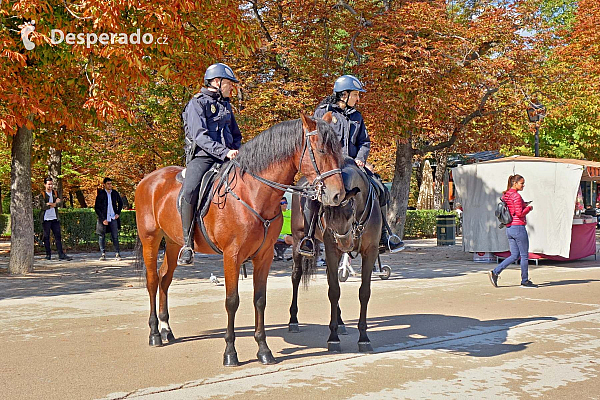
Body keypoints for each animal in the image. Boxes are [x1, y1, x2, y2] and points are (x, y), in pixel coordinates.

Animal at [134, 112, 344, 366]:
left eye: (338, 149)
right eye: (321, 150)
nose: (338, 194)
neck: (253, 193)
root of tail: (148, 180)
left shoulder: (264, 256)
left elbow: (259, 299)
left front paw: (263, 349)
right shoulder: (231, 256)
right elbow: (232, 301)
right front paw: (230, 352)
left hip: (174, 244)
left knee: (165, 279)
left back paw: (166, 328)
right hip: (151, 240)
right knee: (152, 281)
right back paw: (155, 332)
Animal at [288, 159, 382, 354]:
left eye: (349, 211)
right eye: (326, 215)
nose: (345, 243)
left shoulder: (371, 251)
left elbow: (364, 292)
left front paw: (363, 338)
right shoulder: (331, 250)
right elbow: (334, 291)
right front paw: (333, 337)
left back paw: (340, 322)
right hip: (298, 241)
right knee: (296, 276)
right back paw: (293, 320)